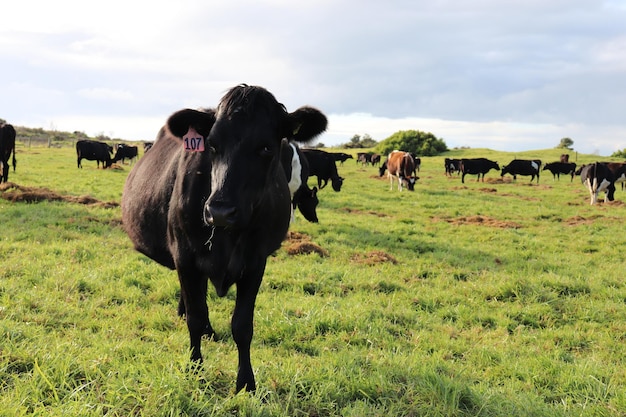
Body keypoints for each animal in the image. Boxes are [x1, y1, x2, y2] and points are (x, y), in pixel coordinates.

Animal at [120, 83, 330, 390]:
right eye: (212, 145)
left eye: (266, 147)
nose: (219, 211)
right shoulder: (185, 255)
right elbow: (195, 317)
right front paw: (195, 369)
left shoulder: (255, 262)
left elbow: (242, 325)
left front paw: (246, 382)